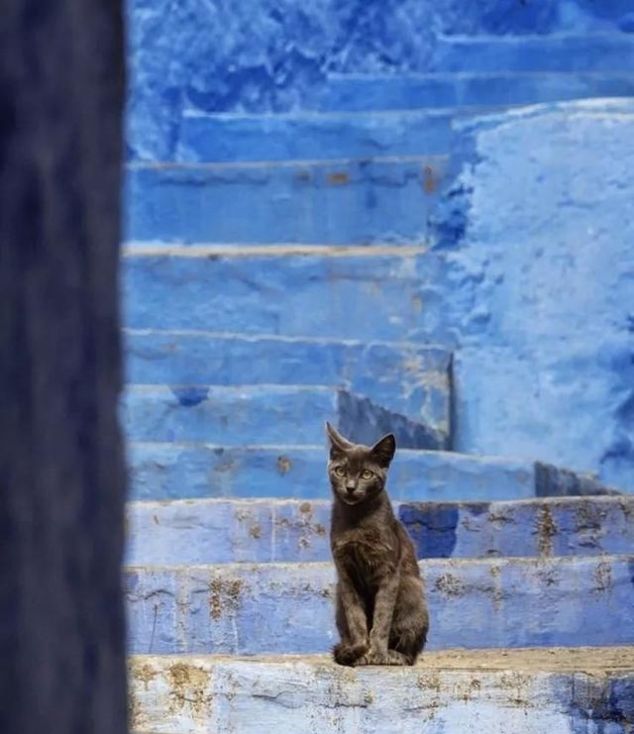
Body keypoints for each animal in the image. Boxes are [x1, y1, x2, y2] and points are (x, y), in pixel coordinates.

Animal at [326, 420, 424, 668]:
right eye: (340, 471)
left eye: (367, 474)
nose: (350, 487)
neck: (356, 521)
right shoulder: (345, 573)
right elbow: (356, 616)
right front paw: (360, 650)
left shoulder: (388, 570)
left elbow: (382, 616)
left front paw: (377, 653)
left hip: (410, 589)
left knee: (411, 653)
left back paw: (395, 656)